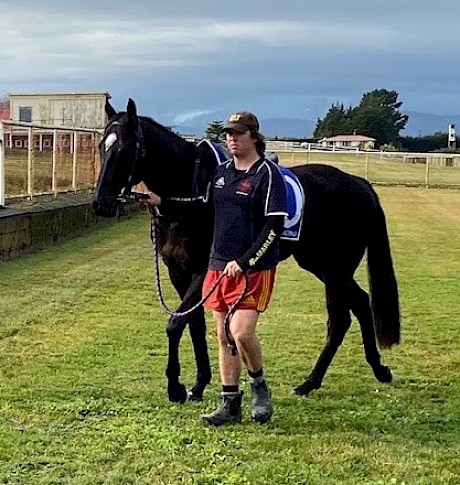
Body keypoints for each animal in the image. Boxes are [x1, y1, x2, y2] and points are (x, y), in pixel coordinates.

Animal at [92, 97, 398, 400]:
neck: (193, 192)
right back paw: (374, 369)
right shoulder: (178, 272)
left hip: (336, 269)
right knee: (360, 303)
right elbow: (193, 323)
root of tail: (359, 183)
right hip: (321, 265)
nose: (100, 203)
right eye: (101, 146)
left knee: (340, 320)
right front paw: (199, 384)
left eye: (125, 148)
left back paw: (312, 381)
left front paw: (175, 387)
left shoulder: (204, 271)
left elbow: (176, 324)